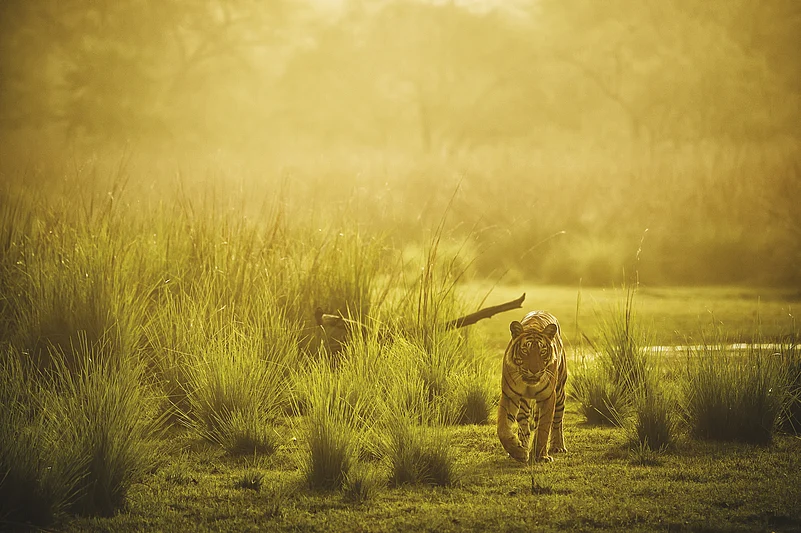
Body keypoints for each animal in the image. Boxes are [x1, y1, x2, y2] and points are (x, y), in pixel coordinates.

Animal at [497, 311, 568, 463]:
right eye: (525, 350)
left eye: (542, 351)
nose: (534, 371)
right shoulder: (509, 395)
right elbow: (503, 429)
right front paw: (518, 452)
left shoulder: (548, 396)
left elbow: (543, 428)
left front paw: (541, 456)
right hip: (524, 403)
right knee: (524, 425)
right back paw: (522, 447)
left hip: (560, 393)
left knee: (558, 421)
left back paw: (558, 446)